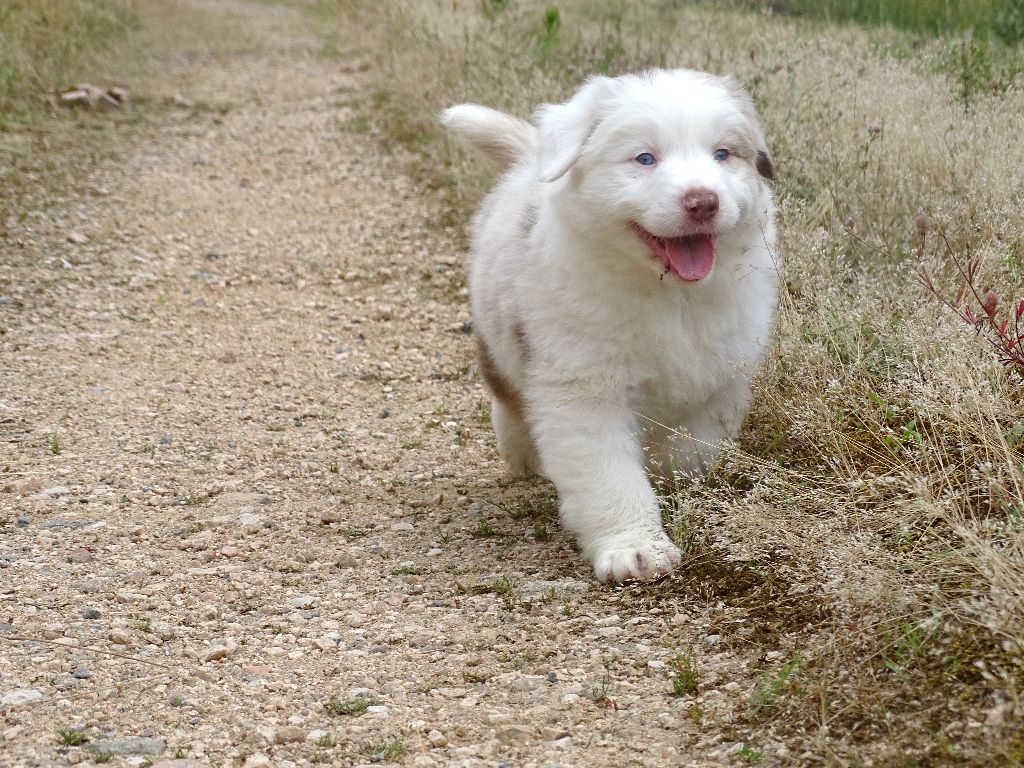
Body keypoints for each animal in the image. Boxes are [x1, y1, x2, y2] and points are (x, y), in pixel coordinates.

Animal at [442, 69, 779, 583]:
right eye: (645, 158)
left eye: (722, 154)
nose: (702, 201)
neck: (669, 295)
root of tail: (529, 161)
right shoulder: (583, 386)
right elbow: (608, 476)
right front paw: (634, 548)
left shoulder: (721, 377)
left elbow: (689, 448)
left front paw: (671, 485)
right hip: (496, 333)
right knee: (508, 398)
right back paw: (522, 455)